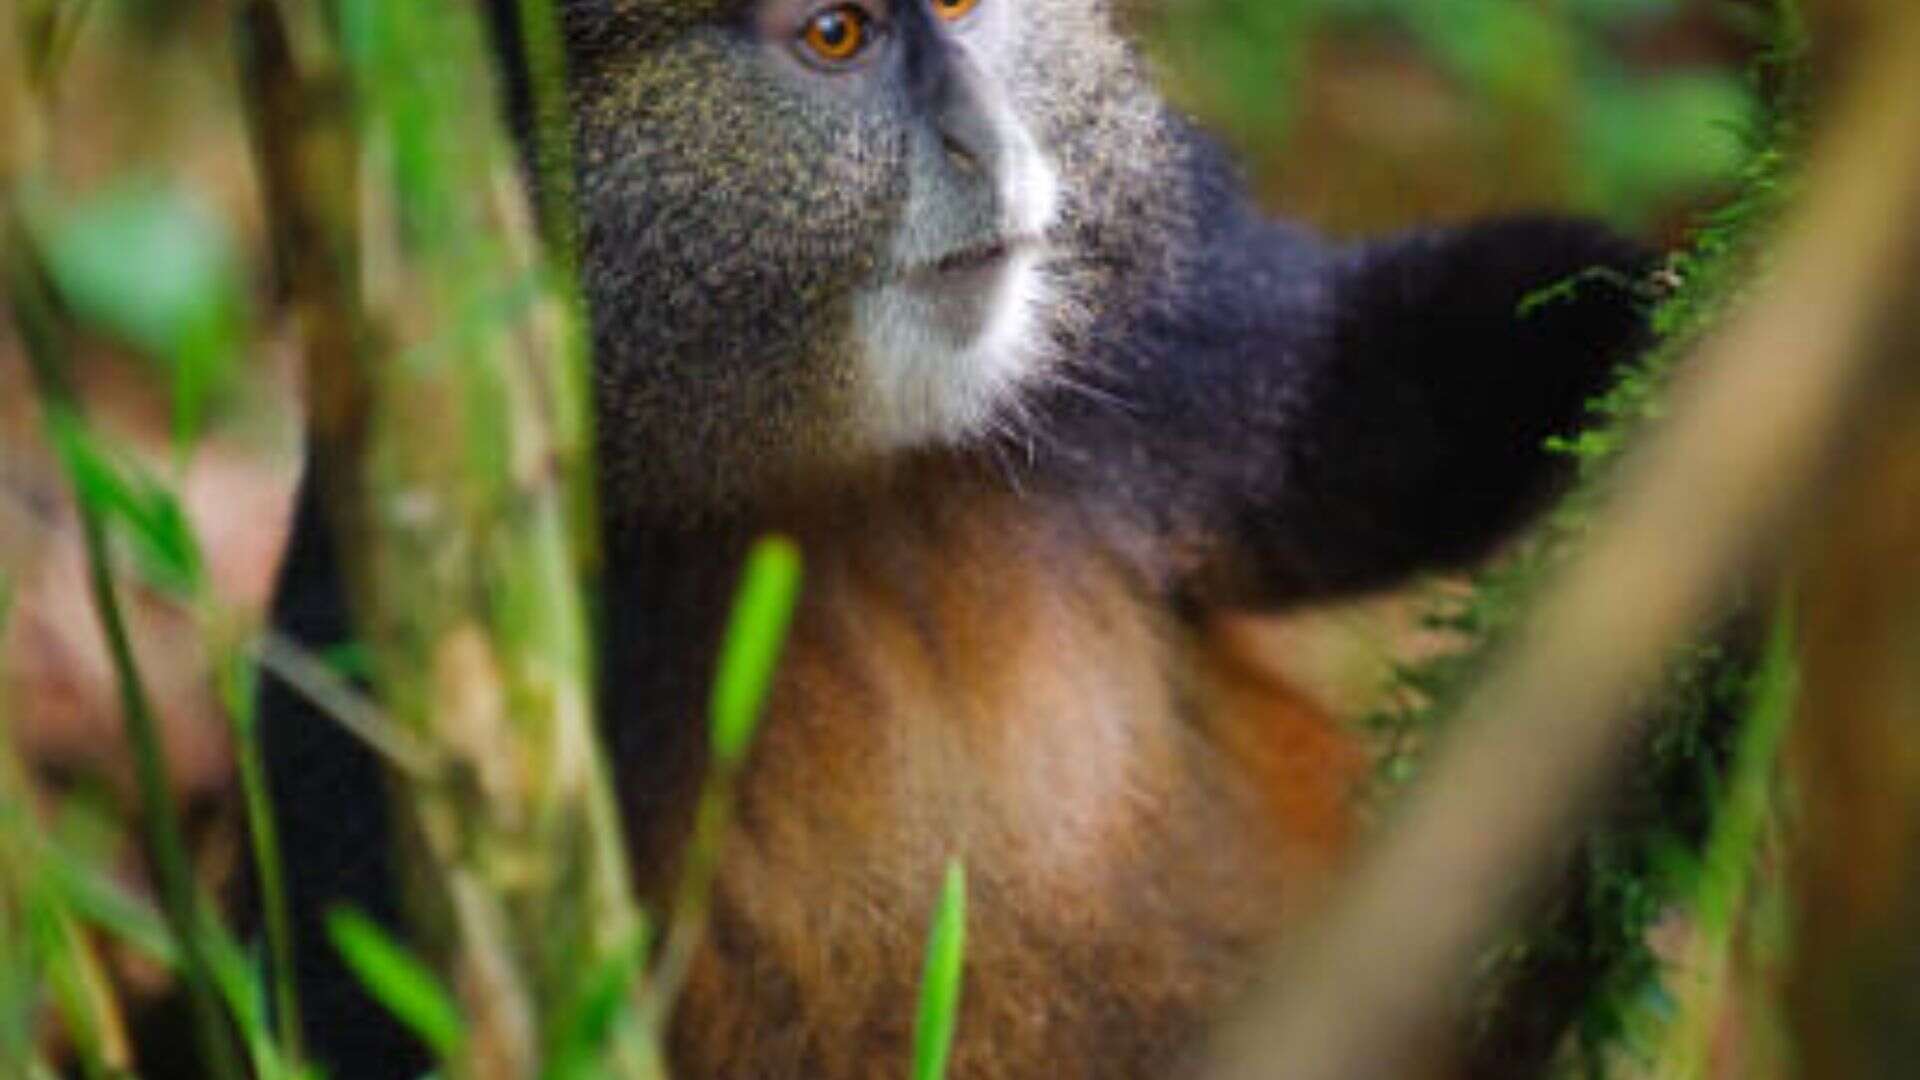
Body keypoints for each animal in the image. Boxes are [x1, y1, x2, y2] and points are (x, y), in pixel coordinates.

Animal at [255, 0, 1655, 1076]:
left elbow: (1348, 438)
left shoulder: (1161, 338)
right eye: (835, 35)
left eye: (968, 5)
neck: (848, 476)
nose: (988, 139)